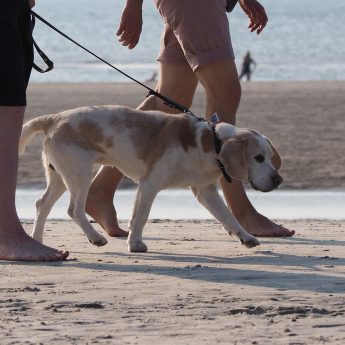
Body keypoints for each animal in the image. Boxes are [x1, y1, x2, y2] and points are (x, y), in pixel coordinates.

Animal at [18, 105, 280, 250]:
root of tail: (54, 118)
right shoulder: (149, 185)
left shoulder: (206, 192)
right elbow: (140, 217)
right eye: (258, 158)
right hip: (79, 175)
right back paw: (95, 238)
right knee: (74, 209)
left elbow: (228, 217)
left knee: (42, 205)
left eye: (269, 156)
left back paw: (38, 240)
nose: (278, 181)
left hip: (59, 178)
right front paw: (135, 244)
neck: (210, 142)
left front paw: (246, 237)